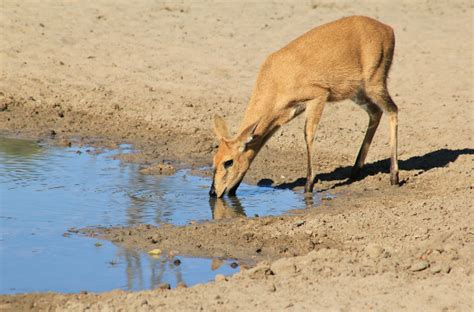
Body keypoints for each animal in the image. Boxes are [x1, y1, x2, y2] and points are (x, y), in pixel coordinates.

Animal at [209, 15, 398, 197]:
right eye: (214, 160)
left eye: (228, 162)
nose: (213, 192)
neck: (275, 81)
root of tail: (388, 29)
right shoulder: (288, 112)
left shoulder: (318, 95)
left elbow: (308, 134)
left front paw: (309, 185)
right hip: (358, 92)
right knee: (376, 112)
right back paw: (355, 171)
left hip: (375, 82)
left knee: (392, 110)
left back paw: (394, 177)